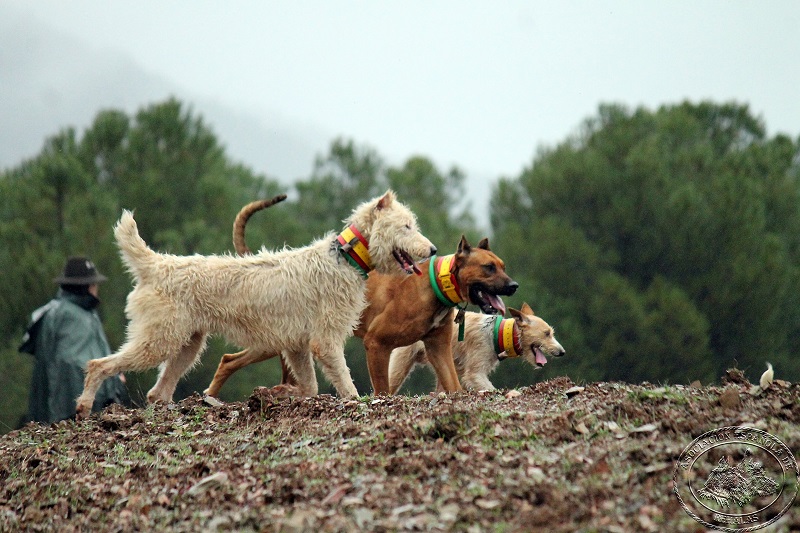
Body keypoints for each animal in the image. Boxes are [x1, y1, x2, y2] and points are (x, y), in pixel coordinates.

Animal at [76, 189, 438, 418]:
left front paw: (293, 400)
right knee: (98, 365)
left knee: (157, 392)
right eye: (406, 226)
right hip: (158, 342)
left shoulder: (297, 346)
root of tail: (158, 264)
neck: (345, 257)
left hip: (186, 347)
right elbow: (346, 384)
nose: (433, 249)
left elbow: (309, 385)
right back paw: (83, 406)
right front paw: (355, 403)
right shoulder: (325, 341)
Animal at [203, 202, 520, 396]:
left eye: (503, 265)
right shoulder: (376, 344)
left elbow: (453, 385)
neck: (433, 285)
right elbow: (382, 390)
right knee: (234, 361)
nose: (514, 286)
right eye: (488, 268)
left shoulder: (438, 348)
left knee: (229, 360)